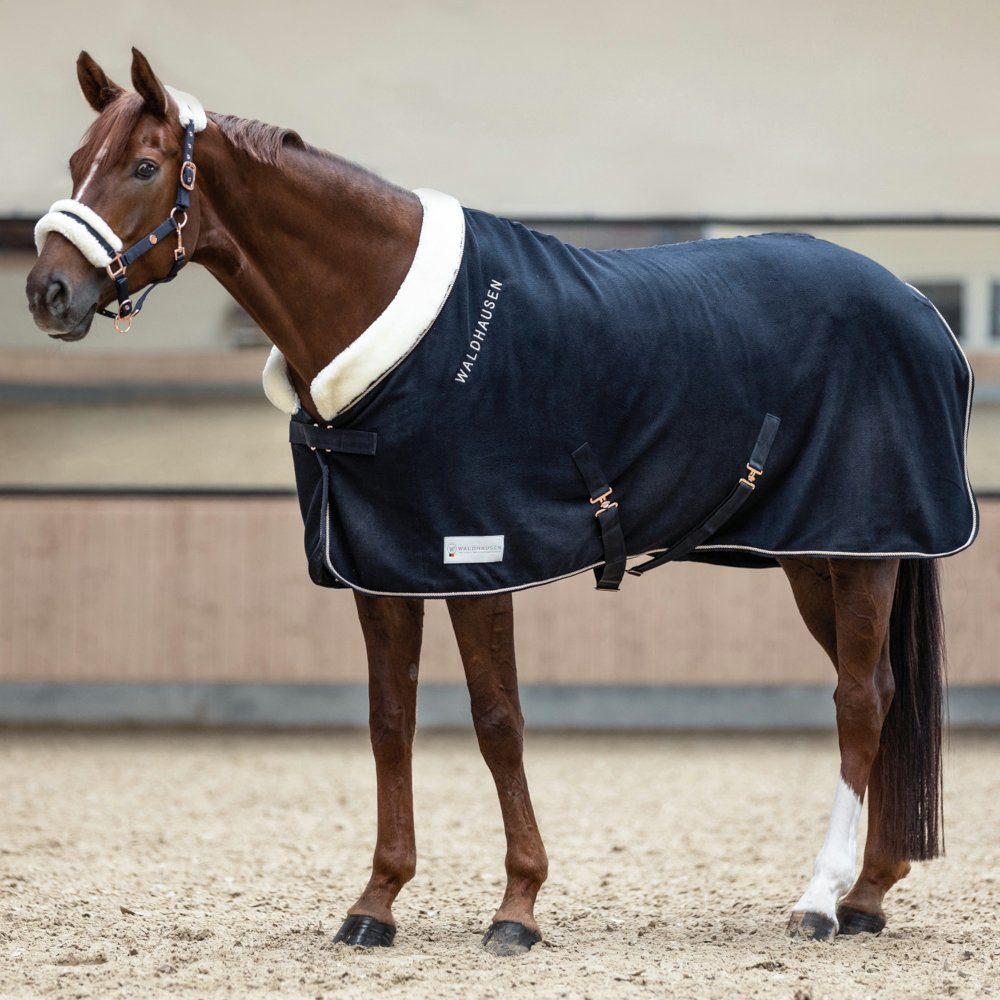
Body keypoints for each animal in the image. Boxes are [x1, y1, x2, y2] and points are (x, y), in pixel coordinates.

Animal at [23, 50, 944, 956]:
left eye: (144, 166)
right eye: (76, 162)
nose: (47, 294)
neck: (397, 333)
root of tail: (915, 304)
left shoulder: (477, 557)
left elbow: (498, 721)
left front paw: (518, 907)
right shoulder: (383, 568)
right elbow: (389, 720)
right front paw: (376, 902)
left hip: (861, 549)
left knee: (858, 700)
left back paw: (821, 899)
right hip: (817, 557)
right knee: (882, 689)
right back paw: (869, 894)